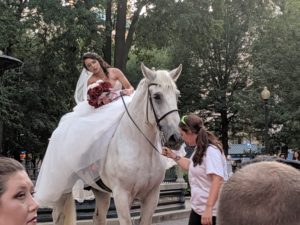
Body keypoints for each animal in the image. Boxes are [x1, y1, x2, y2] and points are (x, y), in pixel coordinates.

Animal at [52, 63, 182, 225]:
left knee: (98, 217)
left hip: (101, 192)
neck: (139, 147)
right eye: (157, 96)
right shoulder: (121, 196)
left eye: (177, 95)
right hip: (61, 192)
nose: (175, 137)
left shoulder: (151, 197)